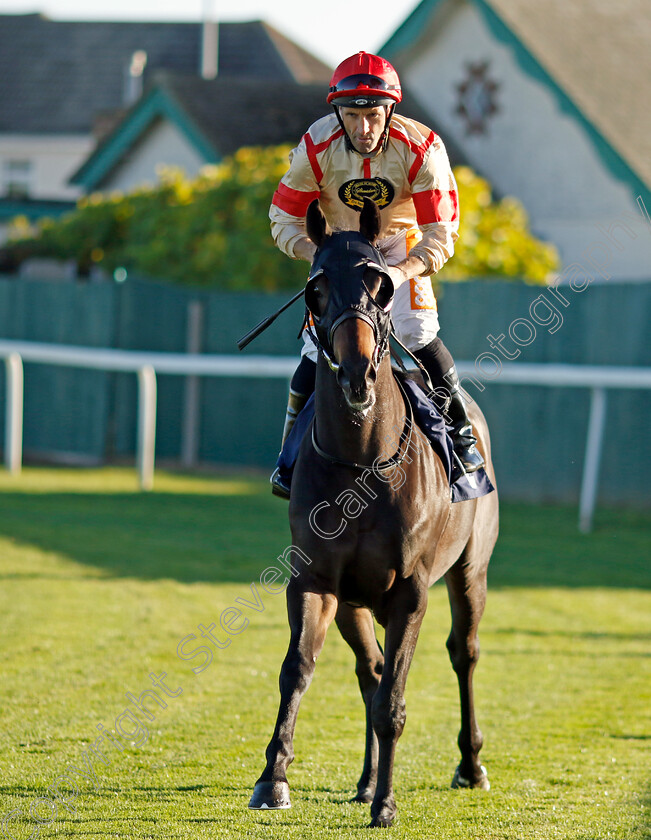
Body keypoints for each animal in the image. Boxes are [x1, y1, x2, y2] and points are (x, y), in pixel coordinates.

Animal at [250, 197, 500, 828]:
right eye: (316, 288)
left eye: (380, 284)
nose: (358, 371)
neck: (363, 461)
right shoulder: (317, 580)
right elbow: (298, 669)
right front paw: (273, 778)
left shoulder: (411, 590)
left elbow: (395, 702)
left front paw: (387, 802)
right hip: (357, 602)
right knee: (372, 670)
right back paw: (364, 780)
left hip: (470, 571)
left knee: (464, 653)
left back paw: (470, 765)